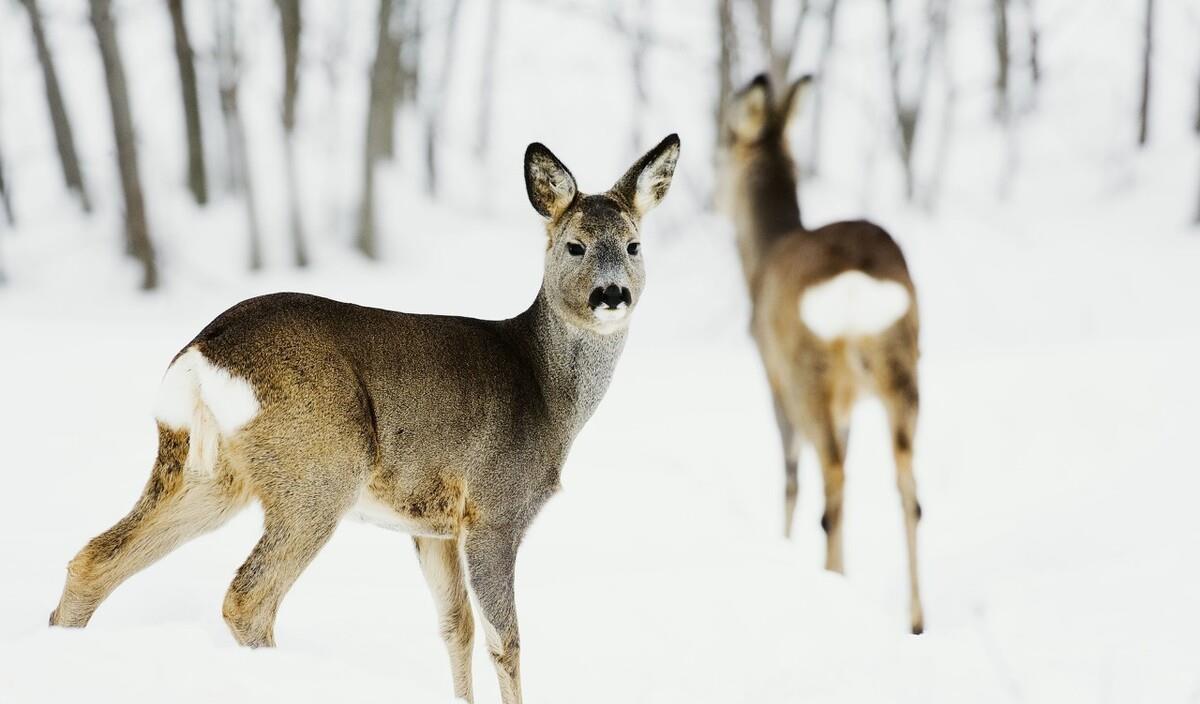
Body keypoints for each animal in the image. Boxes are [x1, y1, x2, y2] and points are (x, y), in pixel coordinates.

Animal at [46, 134, 681, 700]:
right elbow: (508, 642)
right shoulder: (495, 509)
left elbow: (455, 628)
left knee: (93, 558)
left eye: (634, 246)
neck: (546, 391)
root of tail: (203, 351)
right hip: (319, 468)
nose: (611, 294)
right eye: (574, 245)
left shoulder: (432, 524)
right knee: (248, 598)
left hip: (207, 471)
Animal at [715, 74, 921, 638]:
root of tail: (856, 285)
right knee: (907, 488)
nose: (716, 199)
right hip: (901, 367)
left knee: (832, 479)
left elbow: (789, 475)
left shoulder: (772, 372)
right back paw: (916, 619)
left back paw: (836, 580)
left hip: (810, 373)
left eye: (723, 142)